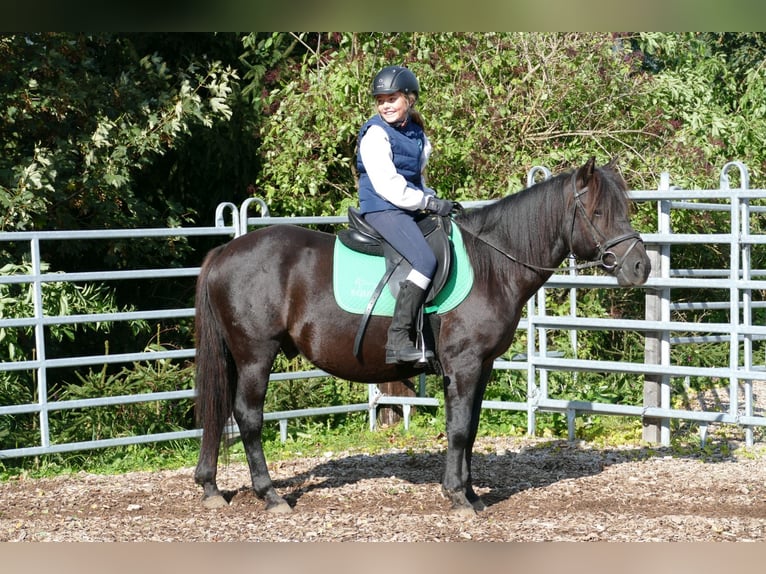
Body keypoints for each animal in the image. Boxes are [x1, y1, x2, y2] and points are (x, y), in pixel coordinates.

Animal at [195, 158, 652, 516]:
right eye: (597, 212)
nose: (640, 267)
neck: (491, 263)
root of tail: (224, 252)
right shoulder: (463, 364)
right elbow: (460, 430)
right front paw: (459, 497)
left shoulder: (481, 365)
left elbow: (469, 427)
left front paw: (470, 493)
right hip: (256, 355)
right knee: (248, 416)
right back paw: (270, 495)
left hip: (236, 357)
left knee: (218, 411)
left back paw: (211, 487)